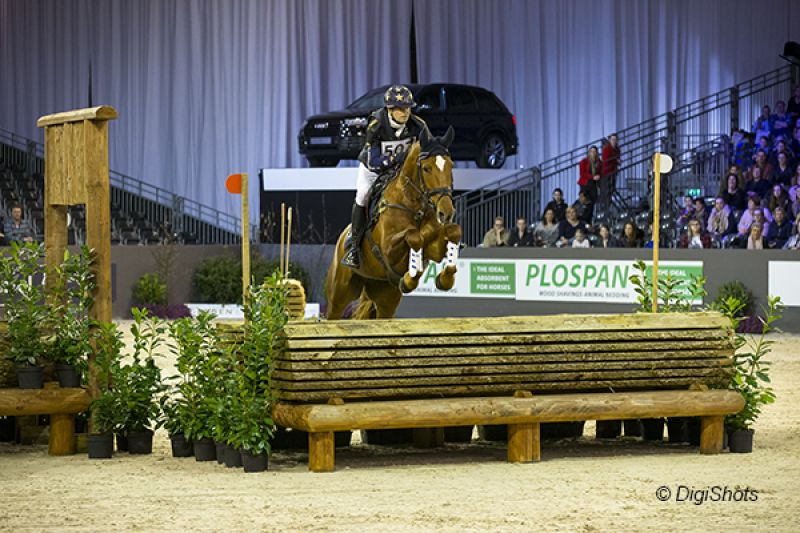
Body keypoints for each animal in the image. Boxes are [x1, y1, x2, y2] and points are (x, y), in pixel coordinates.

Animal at [324, 127, 462, 318]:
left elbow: (454, 232)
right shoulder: (388, 250)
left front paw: (444, 280)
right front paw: (410, 279)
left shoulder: (434, 248)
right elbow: (414, 237)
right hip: (339, 293)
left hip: (386, 297)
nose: (446, 212)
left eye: (451, 166)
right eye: (426, 168)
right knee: (333, 313)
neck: (414, 207)